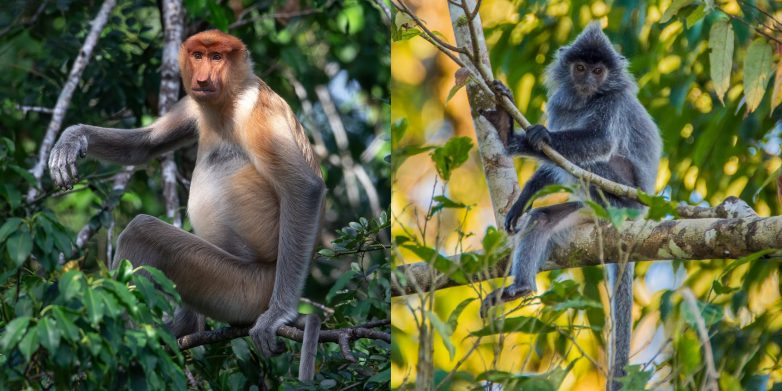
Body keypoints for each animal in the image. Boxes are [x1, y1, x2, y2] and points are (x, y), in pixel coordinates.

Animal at [484, 23, 660, 390]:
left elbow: (599, 141)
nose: (588, 79)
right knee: (542, 218)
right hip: (585, 214)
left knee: (593, 160)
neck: (586, 99)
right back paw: (521, 287)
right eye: (580, 68)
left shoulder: (613, 102)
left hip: (625, 191)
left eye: (598, 71)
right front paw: (527, 194)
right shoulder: (560, 104)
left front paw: (538, 137)